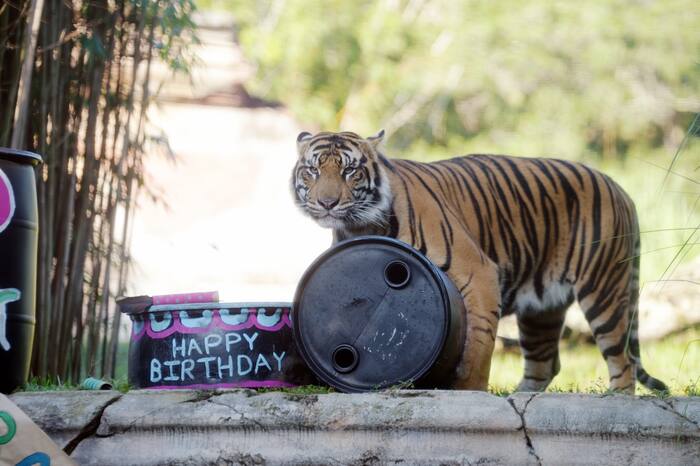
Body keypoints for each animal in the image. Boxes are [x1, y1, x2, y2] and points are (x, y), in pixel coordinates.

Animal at [291, 130, 667, 393]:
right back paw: (519, 397)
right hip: (541, 310)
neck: (361, 224)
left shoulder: (480, 274)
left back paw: (616, 399)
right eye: (312, 171)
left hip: (604, 290)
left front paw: (469, 390)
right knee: (545, 364)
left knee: (623, 361)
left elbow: (478, 346)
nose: (326, 203)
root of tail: (619, 187)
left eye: (350, 171)